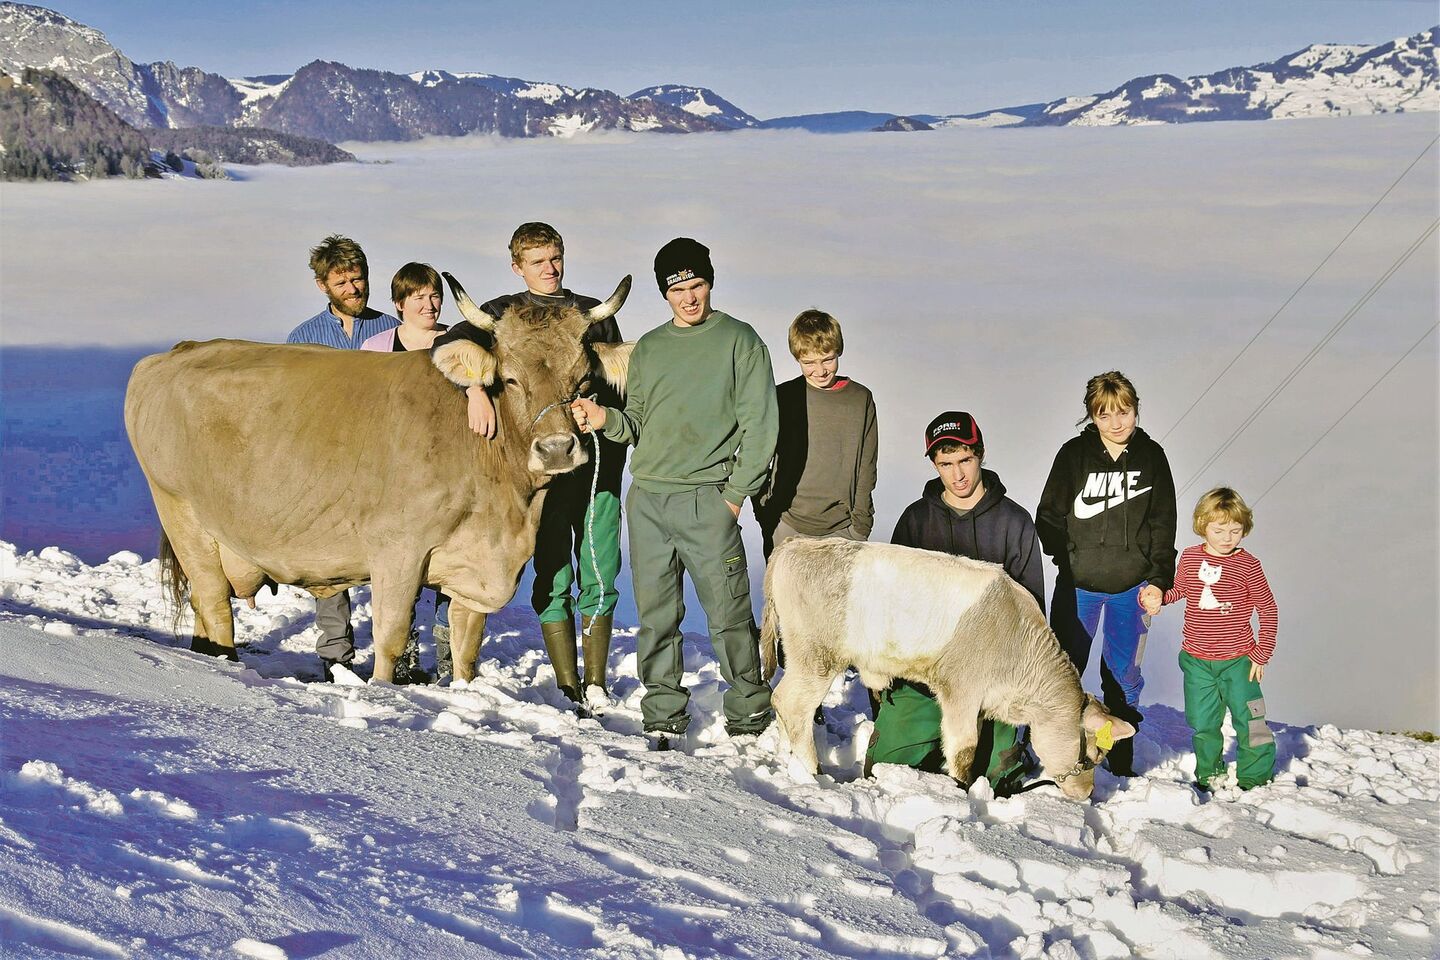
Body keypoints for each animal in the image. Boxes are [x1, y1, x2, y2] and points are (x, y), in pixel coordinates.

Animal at [125, 273, 633, 683]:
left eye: (584, 380)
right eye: (508, 379)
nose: (557, 449)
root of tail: (177, 351)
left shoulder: (475, 567)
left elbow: (465, 648)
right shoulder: (397, 550)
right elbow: (391, 635)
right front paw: (384, 691)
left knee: (202, 607)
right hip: (182, 514)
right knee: (213, 603)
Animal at [760, 537, 1136, 800]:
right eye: (1094, 753)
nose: (1086, 793)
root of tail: (797, 544)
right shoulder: (961, 692)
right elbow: (963, 749)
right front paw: (962, 793)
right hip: (815, 657)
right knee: (792, 705)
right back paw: (812, 773)